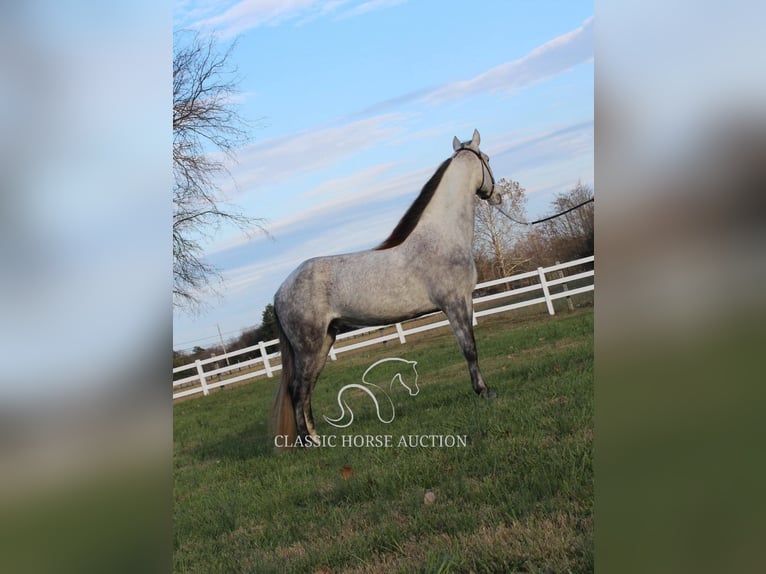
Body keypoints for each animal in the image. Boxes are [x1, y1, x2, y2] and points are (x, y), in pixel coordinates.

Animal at [272, 132, 504, 450]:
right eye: (488, 159)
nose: (497, 195)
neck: (441, 237)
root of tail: (280, 292)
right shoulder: (455, 303)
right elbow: (469, 349)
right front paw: (484, 391)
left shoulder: (463, 302)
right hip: (308, 347)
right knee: (298, 390)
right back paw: (308, 441)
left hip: (323, 343)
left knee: (308, 390)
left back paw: (316, 436)